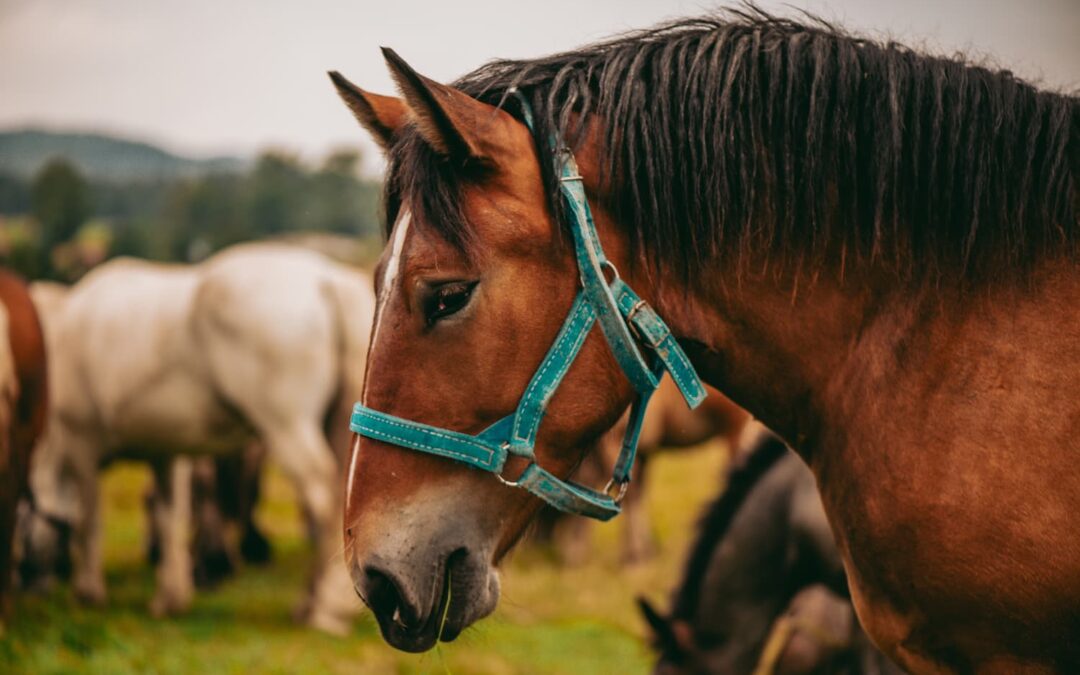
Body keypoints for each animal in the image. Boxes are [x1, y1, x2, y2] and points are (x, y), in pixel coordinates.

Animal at [21, 242, 373, 633]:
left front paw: (87, 592)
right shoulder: (165, 453)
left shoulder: (80, 445)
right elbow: (169, 518)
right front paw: (171, 597)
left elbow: (88, 522)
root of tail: (327, 281)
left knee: (323, 501)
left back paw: (325, 608)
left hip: (287, 428)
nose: (29, 581)